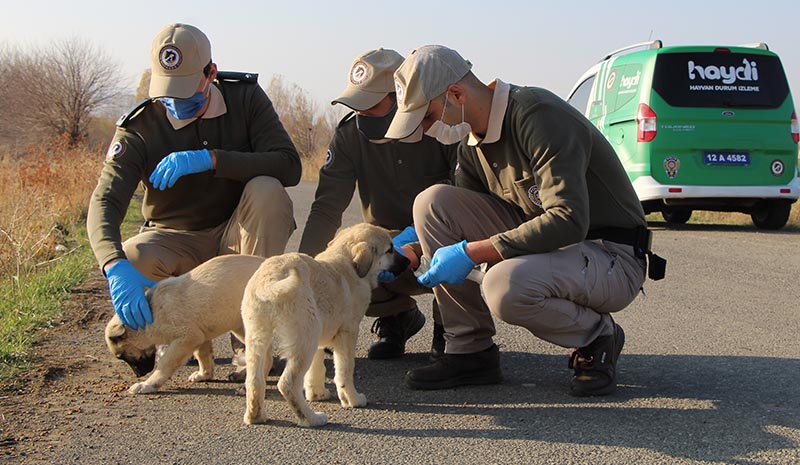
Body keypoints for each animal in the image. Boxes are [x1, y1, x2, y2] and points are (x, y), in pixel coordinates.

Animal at [103, 254, 268, 392]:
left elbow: (166, 363)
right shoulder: (201, 334)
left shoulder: (187, 337)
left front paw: (147, 384)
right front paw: (204, 374)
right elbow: (203, 355)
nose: (139, 375)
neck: (148, 314)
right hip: (240, 326)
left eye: (122, 356)